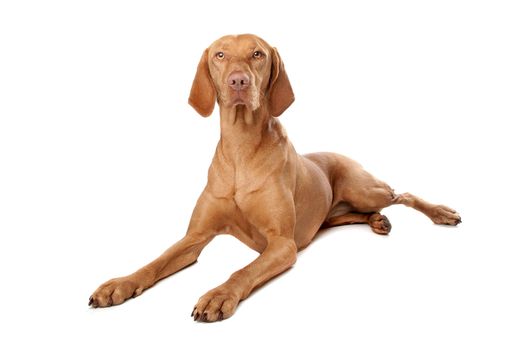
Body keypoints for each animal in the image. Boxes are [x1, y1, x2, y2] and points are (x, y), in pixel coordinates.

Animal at [89, 34, 458, 322]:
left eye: (258, 54)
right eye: (220, 54)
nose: (239, 81)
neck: (241, 149)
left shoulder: (282, 244)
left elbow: (244, 270)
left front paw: (219, 295)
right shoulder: (195, 236)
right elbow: (156, 261)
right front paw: (119, 283)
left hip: (364, 188)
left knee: (402, 194)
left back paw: (440, 212)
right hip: (333, 215)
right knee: (353, 214)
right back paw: (378, 221)